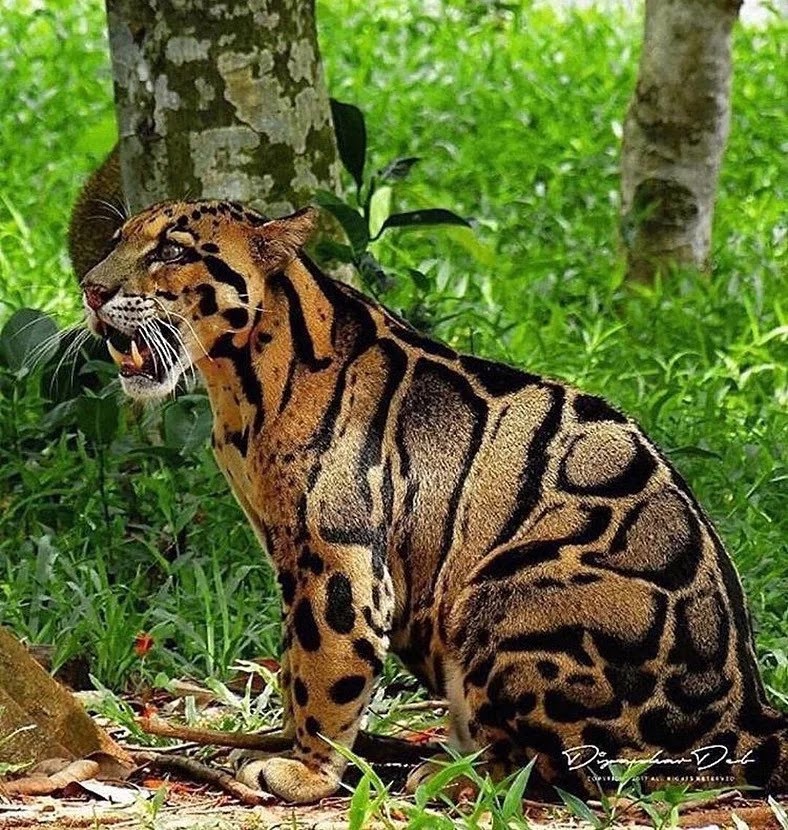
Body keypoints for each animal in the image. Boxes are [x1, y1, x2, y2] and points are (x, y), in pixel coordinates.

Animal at [78, 202, 780, 808]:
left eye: (172, 251)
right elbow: (294, 663)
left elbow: (323, 665)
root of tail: (748, 712)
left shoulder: (338, 558)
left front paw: (306, 769)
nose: (89, 289)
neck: (239, 385)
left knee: (569, 769)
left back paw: (451, 777)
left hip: (507, 595)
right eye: (116, 241)